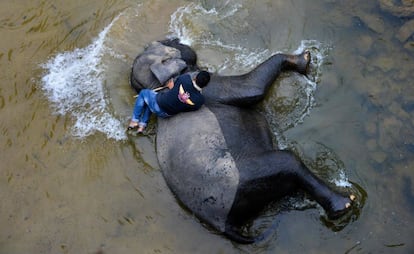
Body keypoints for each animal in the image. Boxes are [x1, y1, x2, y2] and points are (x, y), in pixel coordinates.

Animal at [129, 38, 356, 243]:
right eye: (168, 44)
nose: (176, 38)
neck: (159, 85)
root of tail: (225, 226)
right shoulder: (204, 84)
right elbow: (252, 89)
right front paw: (305, 58)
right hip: (246, 180)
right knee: (288, 161)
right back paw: (345, 204)